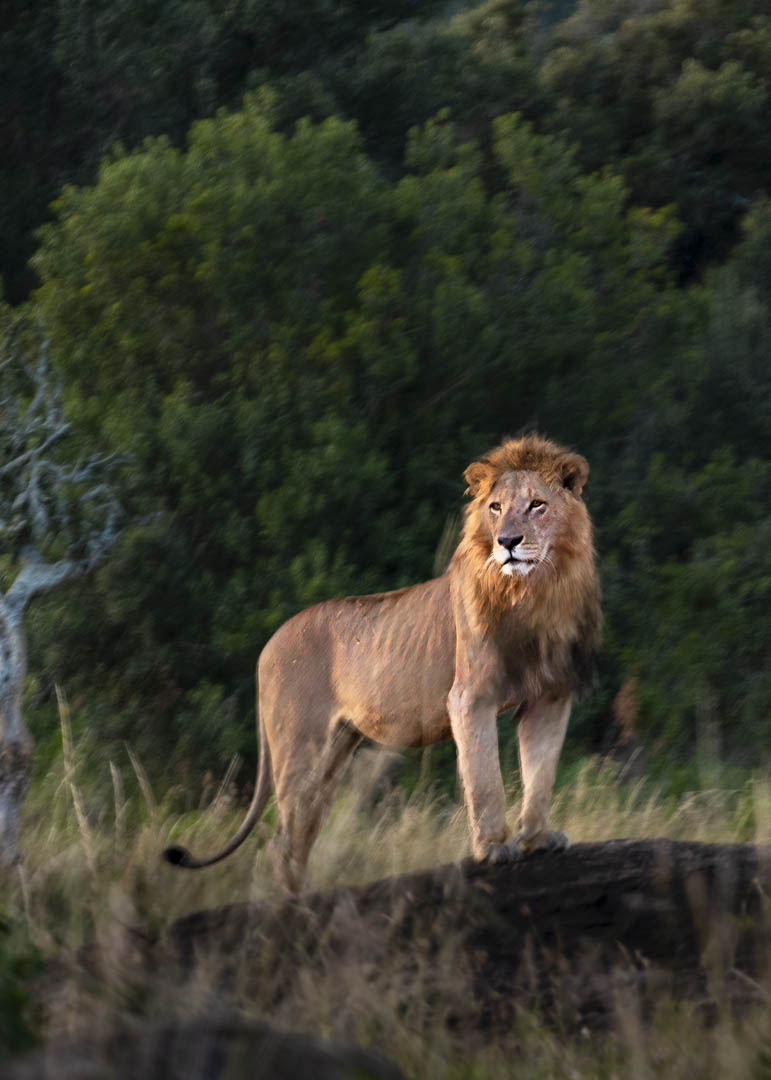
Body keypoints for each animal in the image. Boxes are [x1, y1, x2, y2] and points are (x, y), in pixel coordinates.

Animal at [164, 434, 602, 891]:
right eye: (496, 507)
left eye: (537, 504)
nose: (508, 542)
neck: (535, 594)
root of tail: (268, 645)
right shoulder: (470, 697)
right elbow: (485, 779)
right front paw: (495, 848)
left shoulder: (550, 696)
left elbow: (541, 773)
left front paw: (537, 839)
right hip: (299, 747)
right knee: (281, 841)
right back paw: (292, 902)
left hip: (334, 753)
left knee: (299, 835)